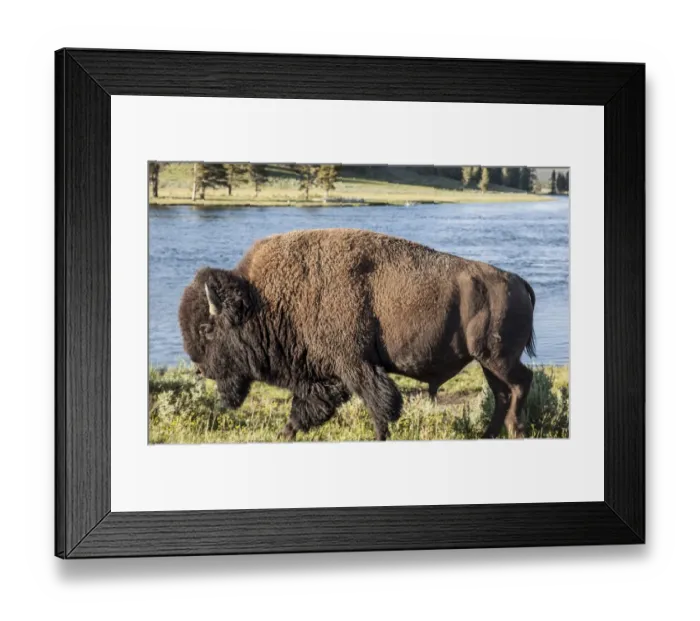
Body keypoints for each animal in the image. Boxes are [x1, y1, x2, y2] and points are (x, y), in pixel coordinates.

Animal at [178, 228, 536, 441]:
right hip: (487, 362)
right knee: (503, 393)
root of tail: (518, 281)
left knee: (520, 383)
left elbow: (380, 405)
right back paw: (489, 435)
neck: (262, 299)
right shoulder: (327, 375)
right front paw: (285, 434)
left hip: (497, 358)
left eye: (207, 329)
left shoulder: (355, 365)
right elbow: (308, 408)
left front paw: (379, 437)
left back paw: (515, 430)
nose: (200, 369)